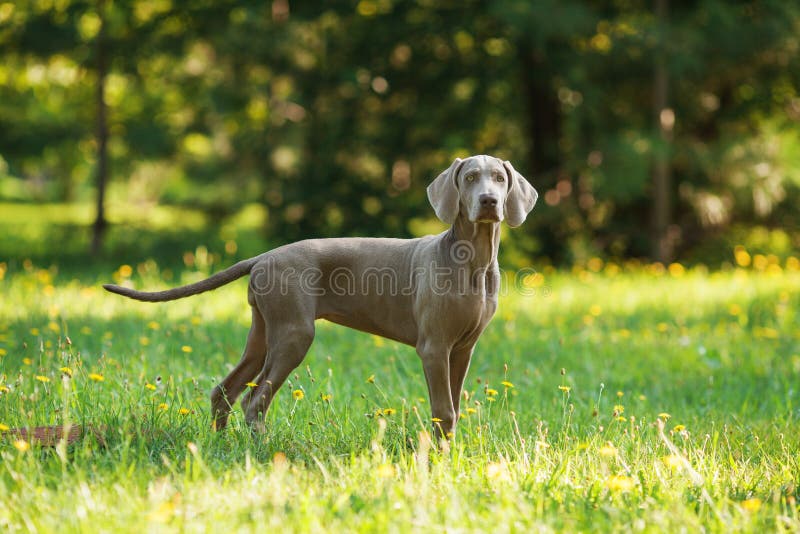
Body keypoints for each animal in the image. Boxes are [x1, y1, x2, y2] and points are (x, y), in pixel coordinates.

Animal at [101, 156, 536, 440]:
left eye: (500, 178)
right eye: (470, 178)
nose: (488, 202)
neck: (472, 258)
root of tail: (265, 255)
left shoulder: (462, 348)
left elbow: (454, 410)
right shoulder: (434, 347)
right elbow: (443, 410)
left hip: (264, 332)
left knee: (225, 391)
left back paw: (219, 445)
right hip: (295, 333)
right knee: (255, 401)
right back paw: (262, 451)